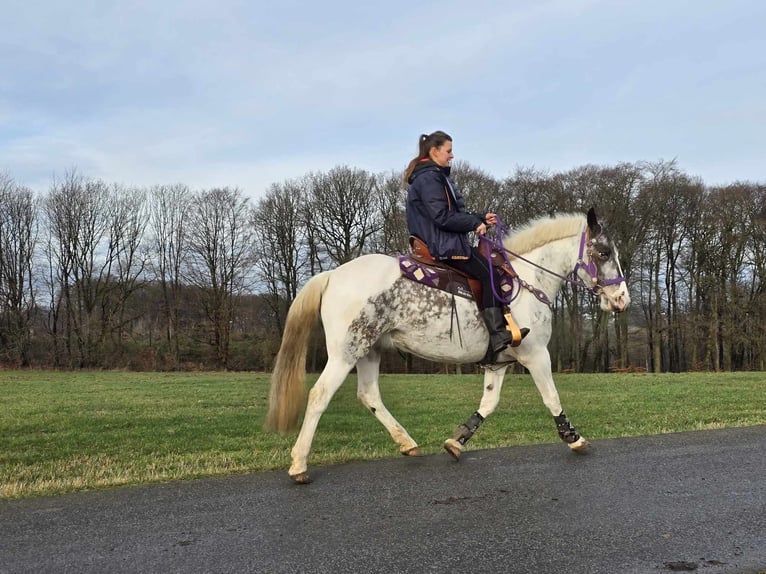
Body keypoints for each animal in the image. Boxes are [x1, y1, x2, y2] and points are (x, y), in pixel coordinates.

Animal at [264, 209, 632, 484]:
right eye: (604, 253)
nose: (622, 299)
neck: (528, 282)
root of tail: (332, 275)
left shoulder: (498, 361)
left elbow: (488, 403)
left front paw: (457, 440)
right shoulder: (536, 356)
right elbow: (551, 397)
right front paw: (573, 438)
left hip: (370, 351)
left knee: (369, 396)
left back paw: (407, 443)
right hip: (346, 352)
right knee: (319, 395)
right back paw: (299, 464)